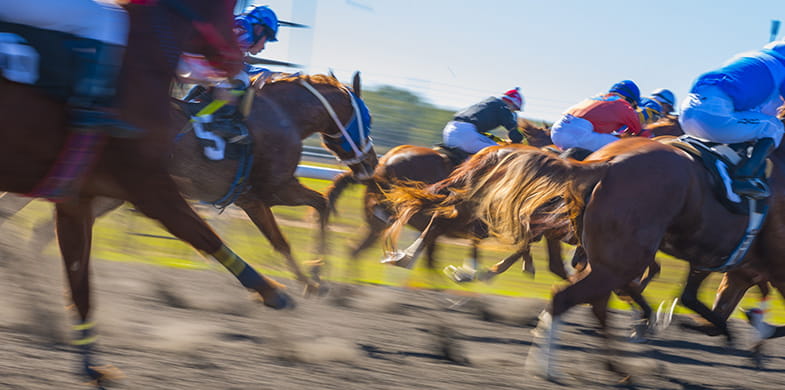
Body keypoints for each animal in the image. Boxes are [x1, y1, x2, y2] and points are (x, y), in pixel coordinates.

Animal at [0, 0, 294, 384]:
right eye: (229, 8)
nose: (236, 61)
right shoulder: (147, 183)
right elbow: (204, 235)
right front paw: (274, 292)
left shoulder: (76, 194)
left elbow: (80, 279)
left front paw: (92, 366)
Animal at [384, 136, 784, 380]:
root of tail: (605, 164)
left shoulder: (732, 266)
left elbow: (706, 303)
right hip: (619, 257)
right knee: (569, 296)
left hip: (608, 257)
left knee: (589, 300)